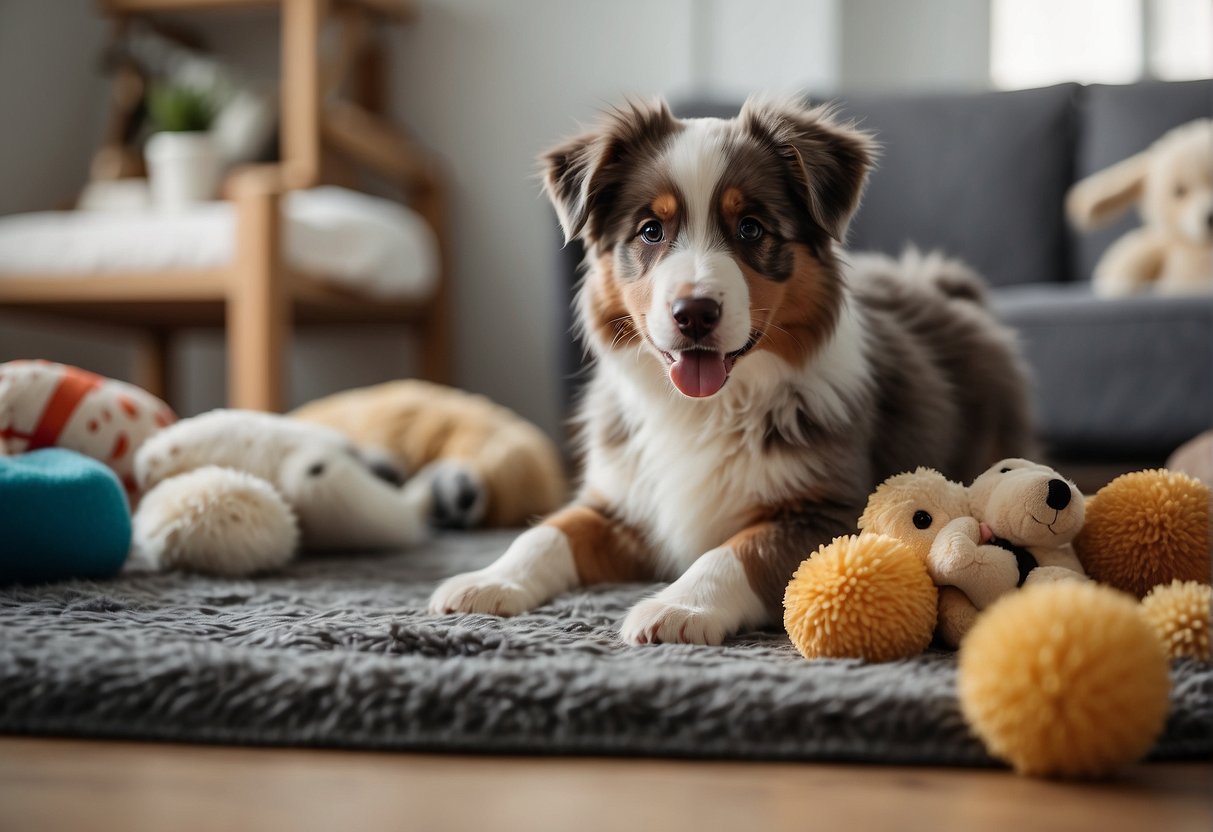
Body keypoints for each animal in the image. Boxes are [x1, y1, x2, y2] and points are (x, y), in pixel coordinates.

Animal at [431, 96, 1028, 645]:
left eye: (751, 228)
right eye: (651, 230)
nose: (694, 313)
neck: (708, 407)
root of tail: (939, 285)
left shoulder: (831, 508)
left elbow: (736, 550)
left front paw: (678, 606)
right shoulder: (625, 501)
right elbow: (545, 533)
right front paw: (489, 580)